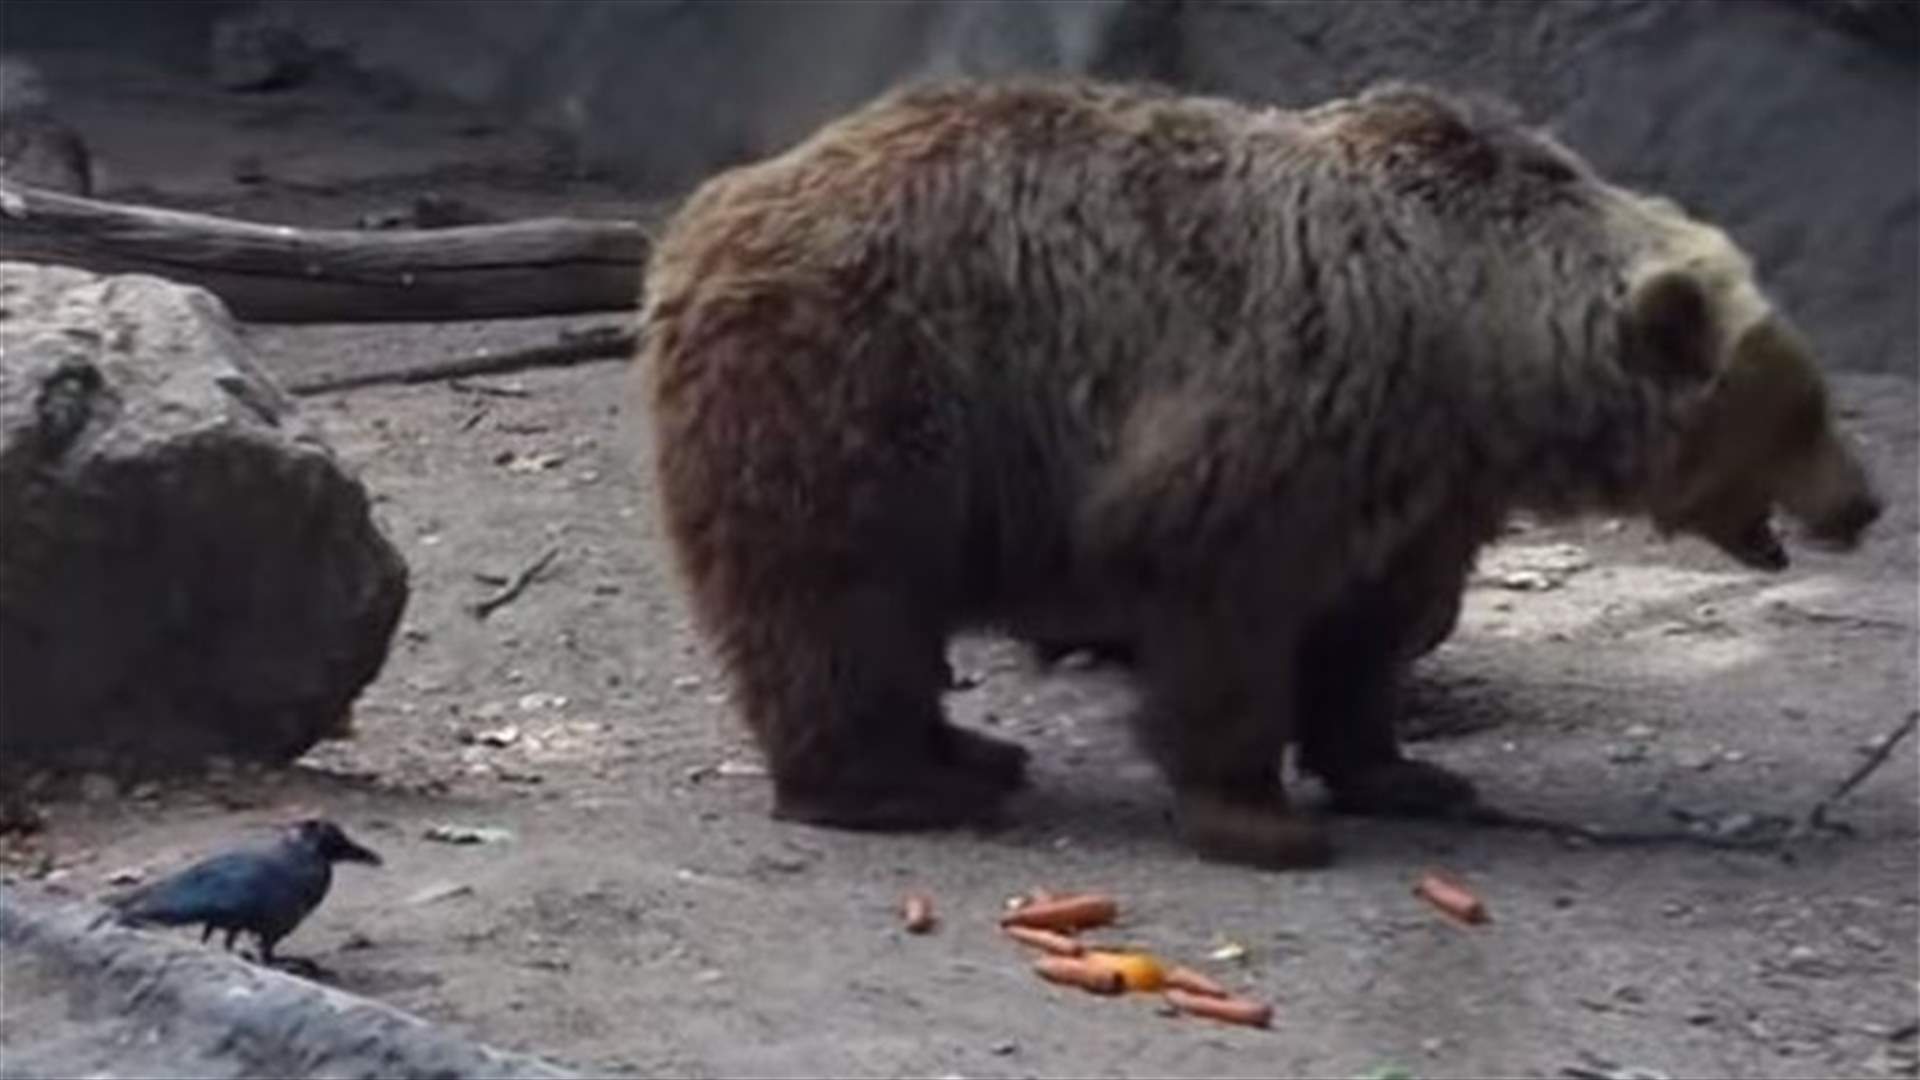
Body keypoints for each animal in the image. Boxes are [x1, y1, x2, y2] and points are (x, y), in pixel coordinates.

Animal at [639, 77, 1882, 869]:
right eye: (1807, 412)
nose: (1866, 503)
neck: (1477, 345)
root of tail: (706, 212)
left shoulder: (1418, 485)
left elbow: (1368, 633)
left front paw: (1406, 773)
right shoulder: (1288, 404)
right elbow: (1223, 602)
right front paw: (1262, 817)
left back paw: (970, 749)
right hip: (868, 388)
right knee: (840, 599)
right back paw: (895, 784)